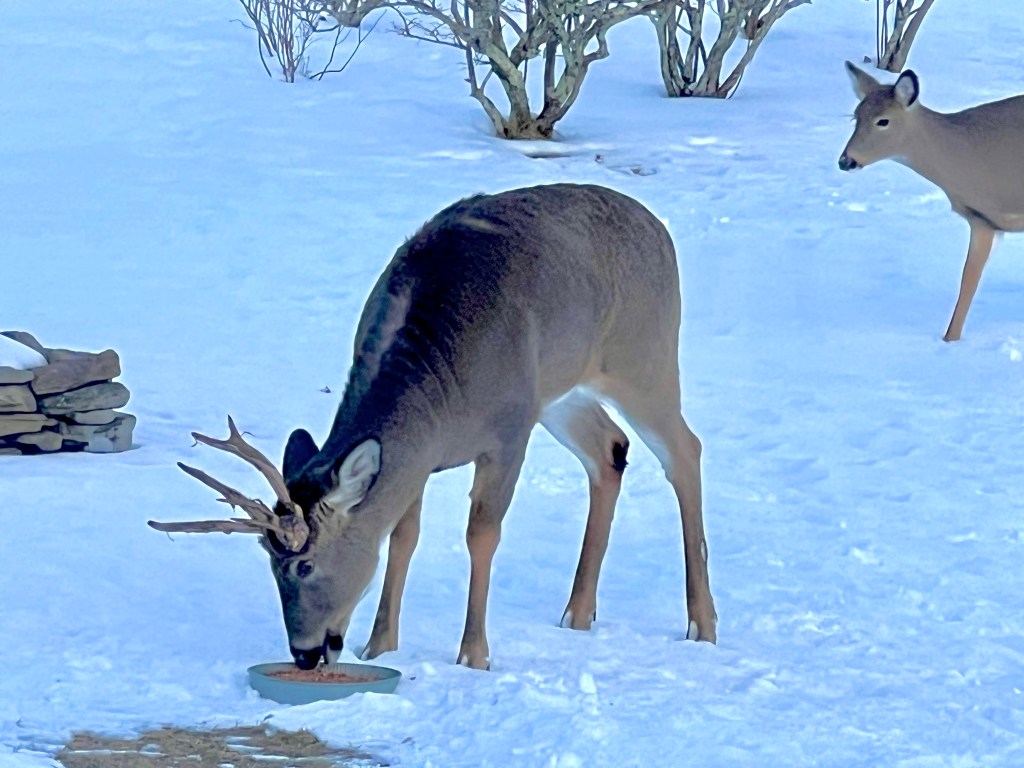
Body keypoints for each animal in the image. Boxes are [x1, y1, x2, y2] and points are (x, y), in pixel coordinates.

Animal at [149, 183, 717, 671]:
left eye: (304, 565)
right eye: (267, 561)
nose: (305, 653)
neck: (445, 398)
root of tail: (659, 230)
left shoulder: (509, 427)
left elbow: (481, 534)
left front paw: (474, 655)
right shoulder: (420, 455)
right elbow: (403, 537)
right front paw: (379, 646)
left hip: (643, 356)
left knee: (685, 449)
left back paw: (702, 624)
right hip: (563, 393)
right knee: (610, 450)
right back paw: (577, 614)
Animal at [839, 61, 1024, 342]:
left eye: (883, 121)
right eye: (855, 117)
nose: (845, 160)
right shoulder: (980, 219)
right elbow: (968, 280)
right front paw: (950, 339)